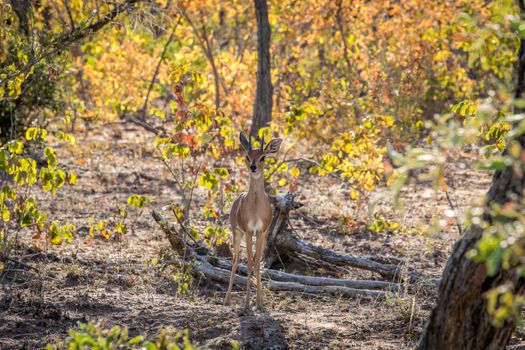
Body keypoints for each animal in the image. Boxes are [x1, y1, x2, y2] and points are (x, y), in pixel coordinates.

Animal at [225, 131, 282, 312]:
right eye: (247, 156)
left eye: (263, 156)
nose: (253, 167)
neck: (256, 206)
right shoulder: (249, 231)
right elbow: (249, 263)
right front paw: (247, 305)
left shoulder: (262, 232)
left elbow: (257, 263)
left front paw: (260, 304)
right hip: (237, 234)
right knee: (235, 260)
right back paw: (227, 300)